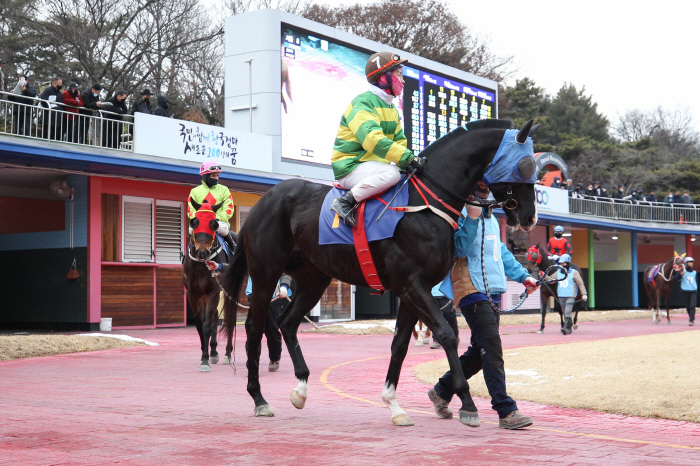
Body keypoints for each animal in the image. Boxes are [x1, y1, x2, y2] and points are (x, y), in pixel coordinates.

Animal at [185, 200, 237, 372]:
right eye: (195, 222)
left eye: (213, 223)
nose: (202, 252)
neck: (201, 264)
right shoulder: (194, 294)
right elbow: (200, 325)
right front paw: (206, 354)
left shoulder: (212, 292)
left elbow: (207, 325)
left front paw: (205, 360)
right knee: (214, 317)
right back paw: (214, 351)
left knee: (230, 319)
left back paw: (227, 354)